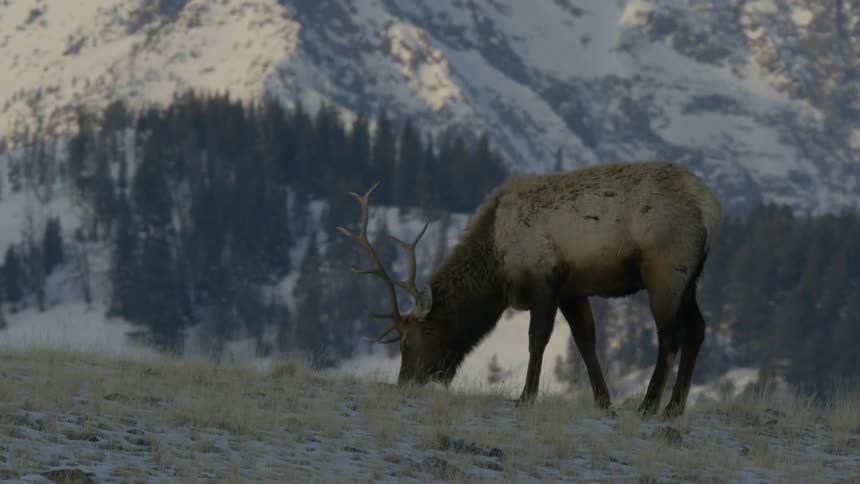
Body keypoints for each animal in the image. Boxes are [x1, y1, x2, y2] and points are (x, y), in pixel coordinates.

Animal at [338, 160, 722, 417]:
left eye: (407, 342)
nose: (404, 382)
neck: (496, 261)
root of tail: (712, 208)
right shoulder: (572, 288)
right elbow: (586, 340)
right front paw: (603, 401)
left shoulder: (543, 274)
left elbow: (538, 337)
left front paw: (526, 396)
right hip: (691, 278)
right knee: (699, 327)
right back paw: (674, 407)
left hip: (665, 269)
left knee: (670, 335)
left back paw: (649, 404)